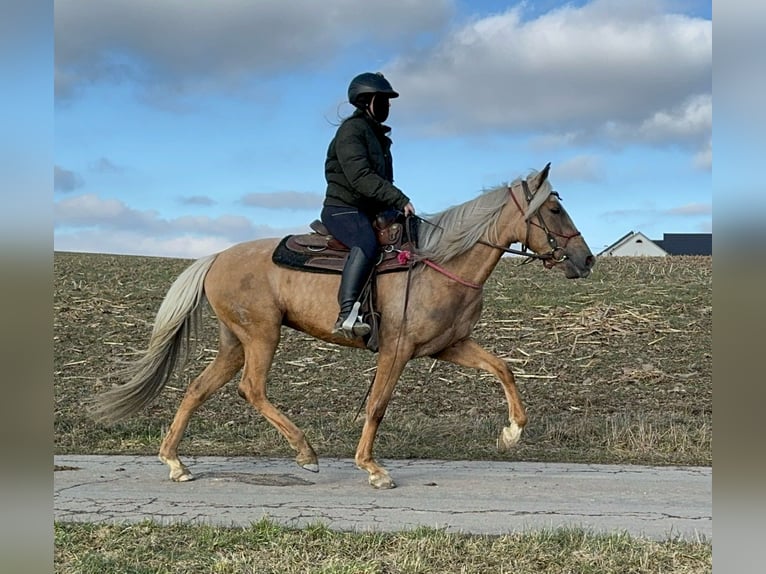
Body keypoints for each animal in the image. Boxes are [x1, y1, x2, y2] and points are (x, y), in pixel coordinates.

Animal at [88, 162, 592, 490]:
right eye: (554, 211)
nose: (585, 260)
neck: (441, 264)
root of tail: (216, 258)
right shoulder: (396, 350)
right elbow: (377, 405)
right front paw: (372, 468)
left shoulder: (448, 346)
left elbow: (502, 368)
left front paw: (512, 433)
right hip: (262, 336)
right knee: (251, 389)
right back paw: (305, 453)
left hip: (235, 342)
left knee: (197, 390)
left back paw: (175, 462)